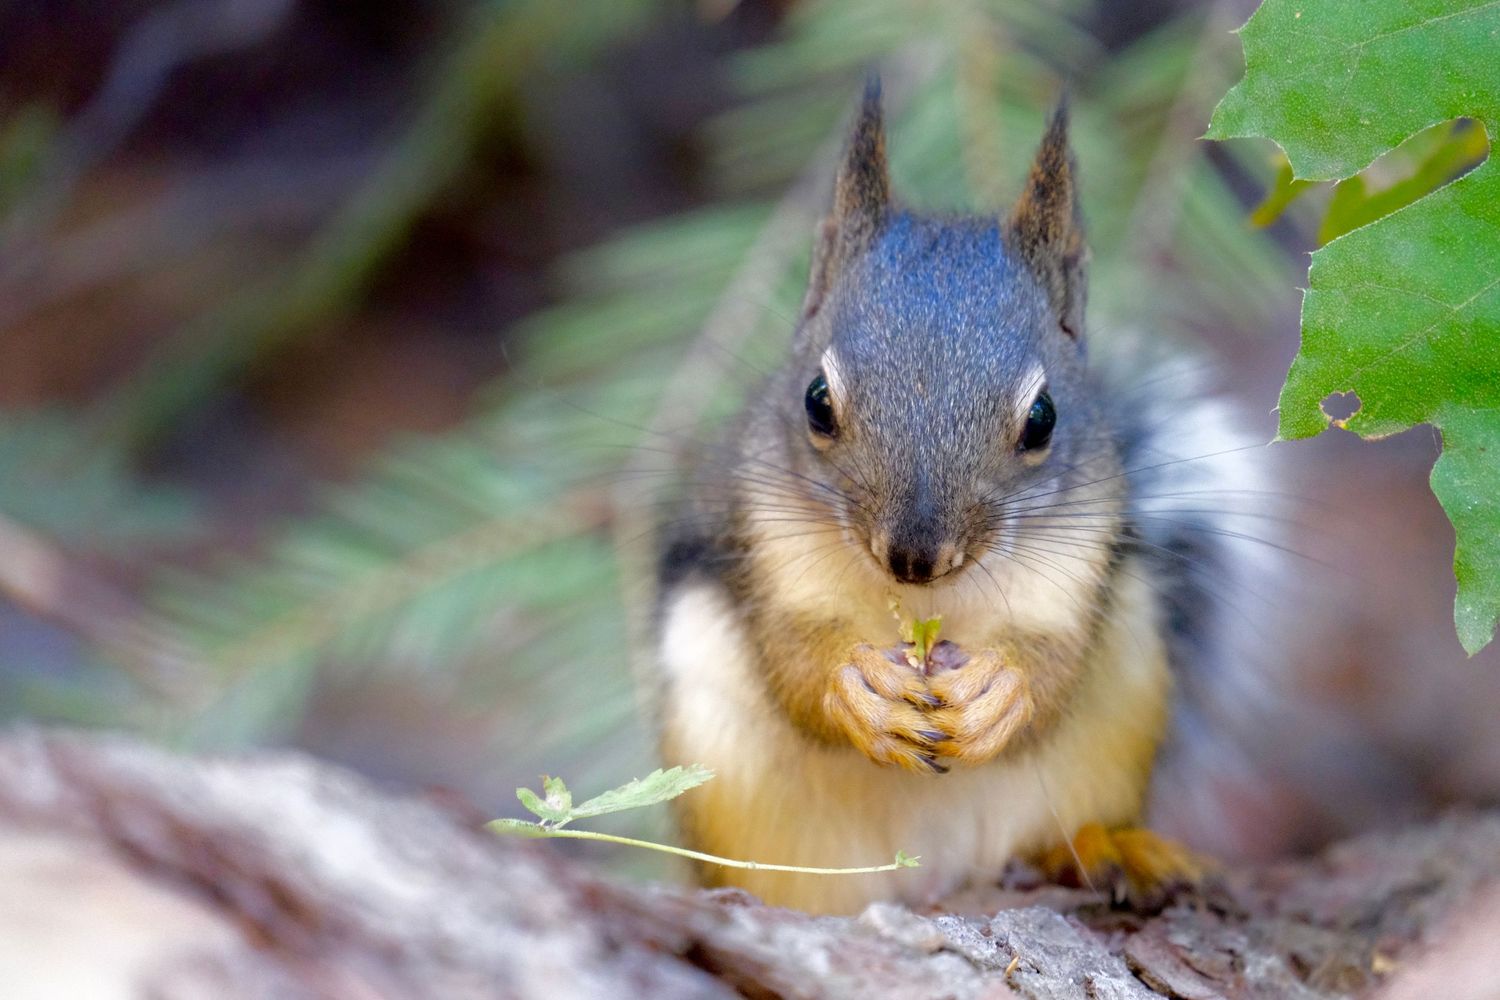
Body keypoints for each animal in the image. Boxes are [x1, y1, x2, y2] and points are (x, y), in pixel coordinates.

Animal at [649, 80, 1269, 915]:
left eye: (1042, 418)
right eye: (816, 401)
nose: (914, 557)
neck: (924, 604)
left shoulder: (1085, 557)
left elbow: (1057, 665)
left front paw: (1000, 690)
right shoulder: (755, 539)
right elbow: (792, 660)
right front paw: (860, 686)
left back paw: (1107, 850)